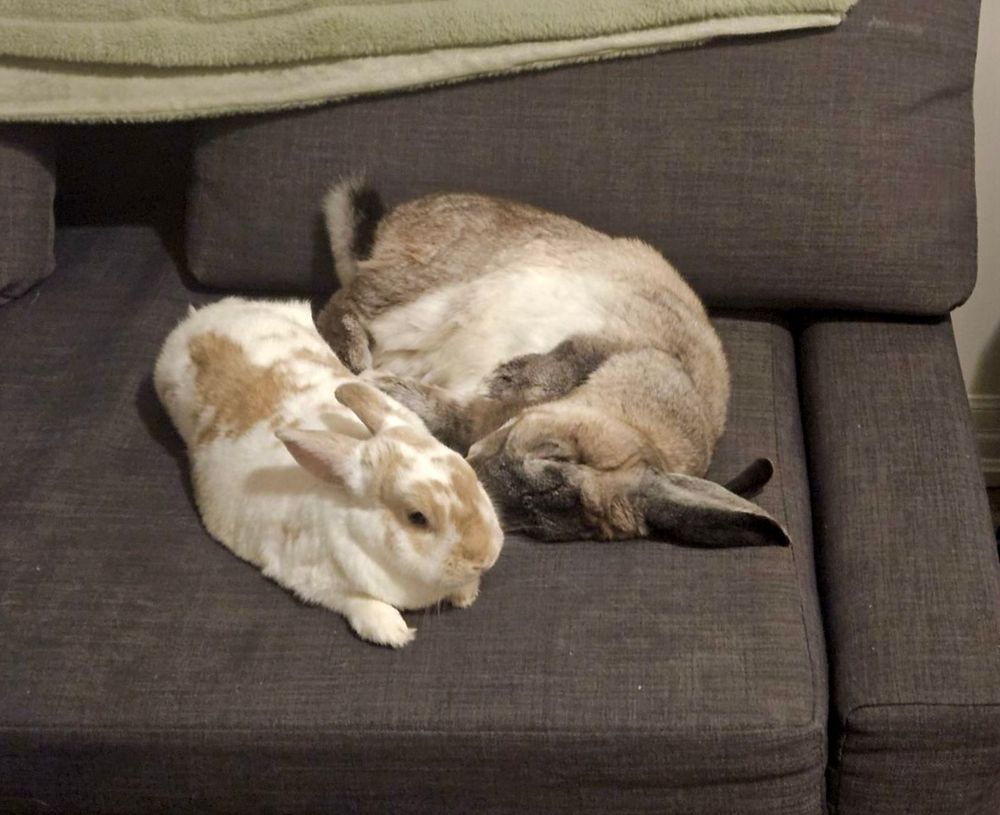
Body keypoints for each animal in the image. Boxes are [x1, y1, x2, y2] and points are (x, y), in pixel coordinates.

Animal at [154, 297, 504, 648]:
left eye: (469, 473)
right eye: (417, 517)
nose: (485, 557)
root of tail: (198, 320)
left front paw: (466, 594)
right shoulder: (314, 580)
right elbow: (357, 601)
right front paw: (393, 631)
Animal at [315, 179, 788, 548]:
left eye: (537, 527)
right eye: (553, 453)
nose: (476, 470)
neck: (629, 420)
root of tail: (395, 221)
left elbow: (454, 418)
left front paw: (394, 393)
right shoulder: (622, 339)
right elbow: (569, 357)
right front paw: (505, 378)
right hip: (426, 280)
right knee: (342, 302)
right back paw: (352, 355)